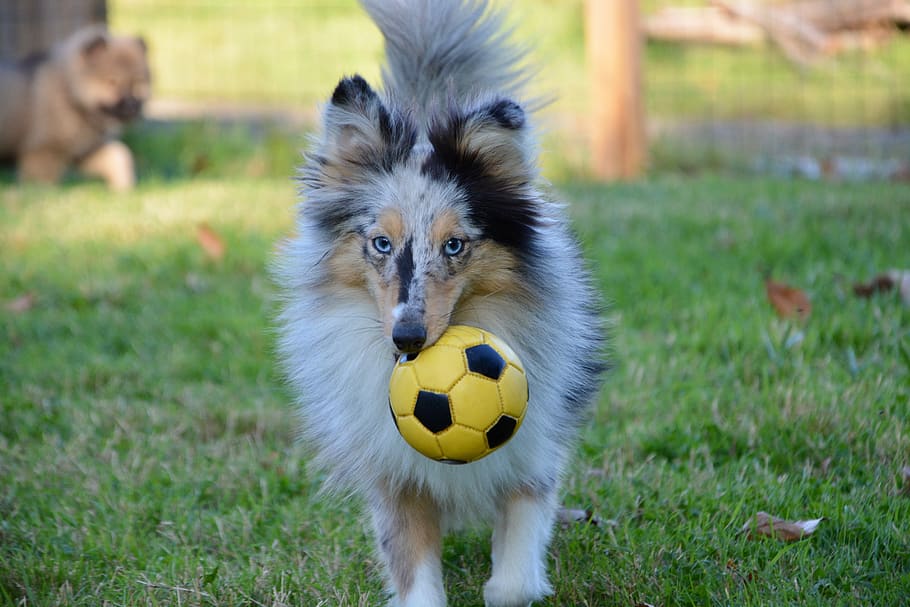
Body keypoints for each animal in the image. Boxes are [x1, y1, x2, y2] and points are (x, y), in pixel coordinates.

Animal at [0, 25, 151, 190]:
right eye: (112, 83)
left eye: (138, 84)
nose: (131, 107)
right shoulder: (44, 149)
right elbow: (42, 179)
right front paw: (41, 191)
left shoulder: (85, 149)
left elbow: (119, 155)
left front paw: (123, 185)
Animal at [274, 2, 608, 604]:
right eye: (381, 243)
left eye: (454, 245)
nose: (407, 337)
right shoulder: (394, 478)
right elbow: (415, 574)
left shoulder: (532, 459)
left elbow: (513, 580)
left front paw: (510, 585)